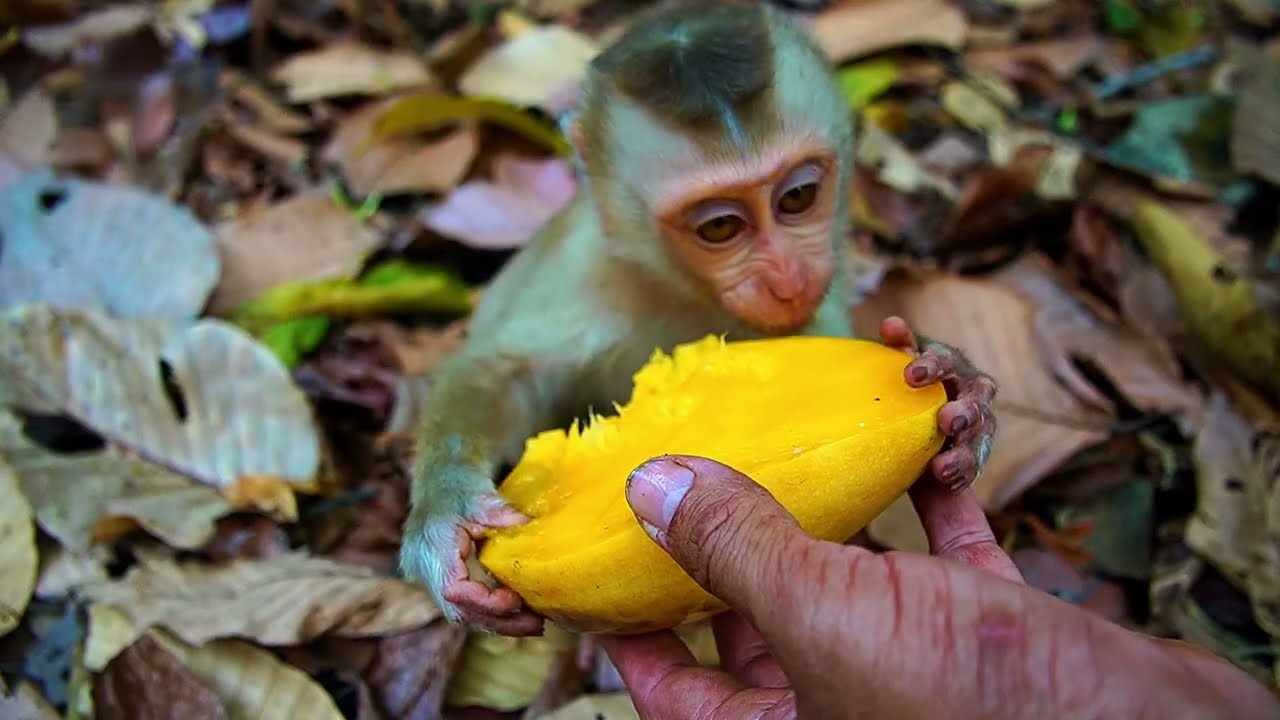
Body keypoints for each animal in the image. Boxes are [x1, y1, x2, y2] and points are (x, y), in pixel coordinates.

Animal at [400, 0, 998, 636]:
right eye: (719, 227)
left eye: (797, 197)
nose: (788, 279)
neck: (683, 286)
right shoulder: (580, 275)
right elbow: (504, 371)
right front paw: (446, 510)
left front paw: (959, 385)